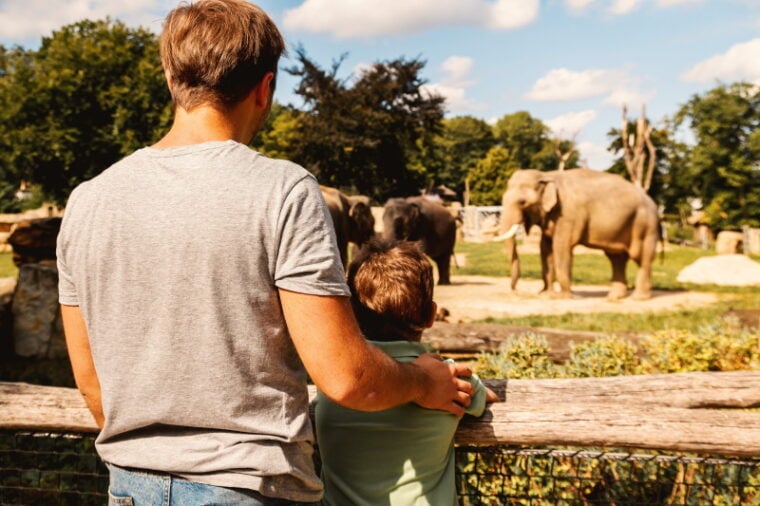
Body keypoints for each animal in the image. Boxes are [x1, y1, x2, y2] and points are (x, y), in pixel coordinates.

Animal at [496, 168, 664, 298]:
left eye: (522, 202)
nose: (516, 291)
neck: (547, 175)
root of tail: (654, 205)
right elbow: (546, 248)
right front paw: (545, 294)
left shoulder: (568, 214)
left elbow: (561, 247)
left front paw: (563, 297)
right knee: (616, 258)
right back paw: (614, 298)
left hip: (644, 224)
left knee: (640, 257)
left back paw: (638, 298)